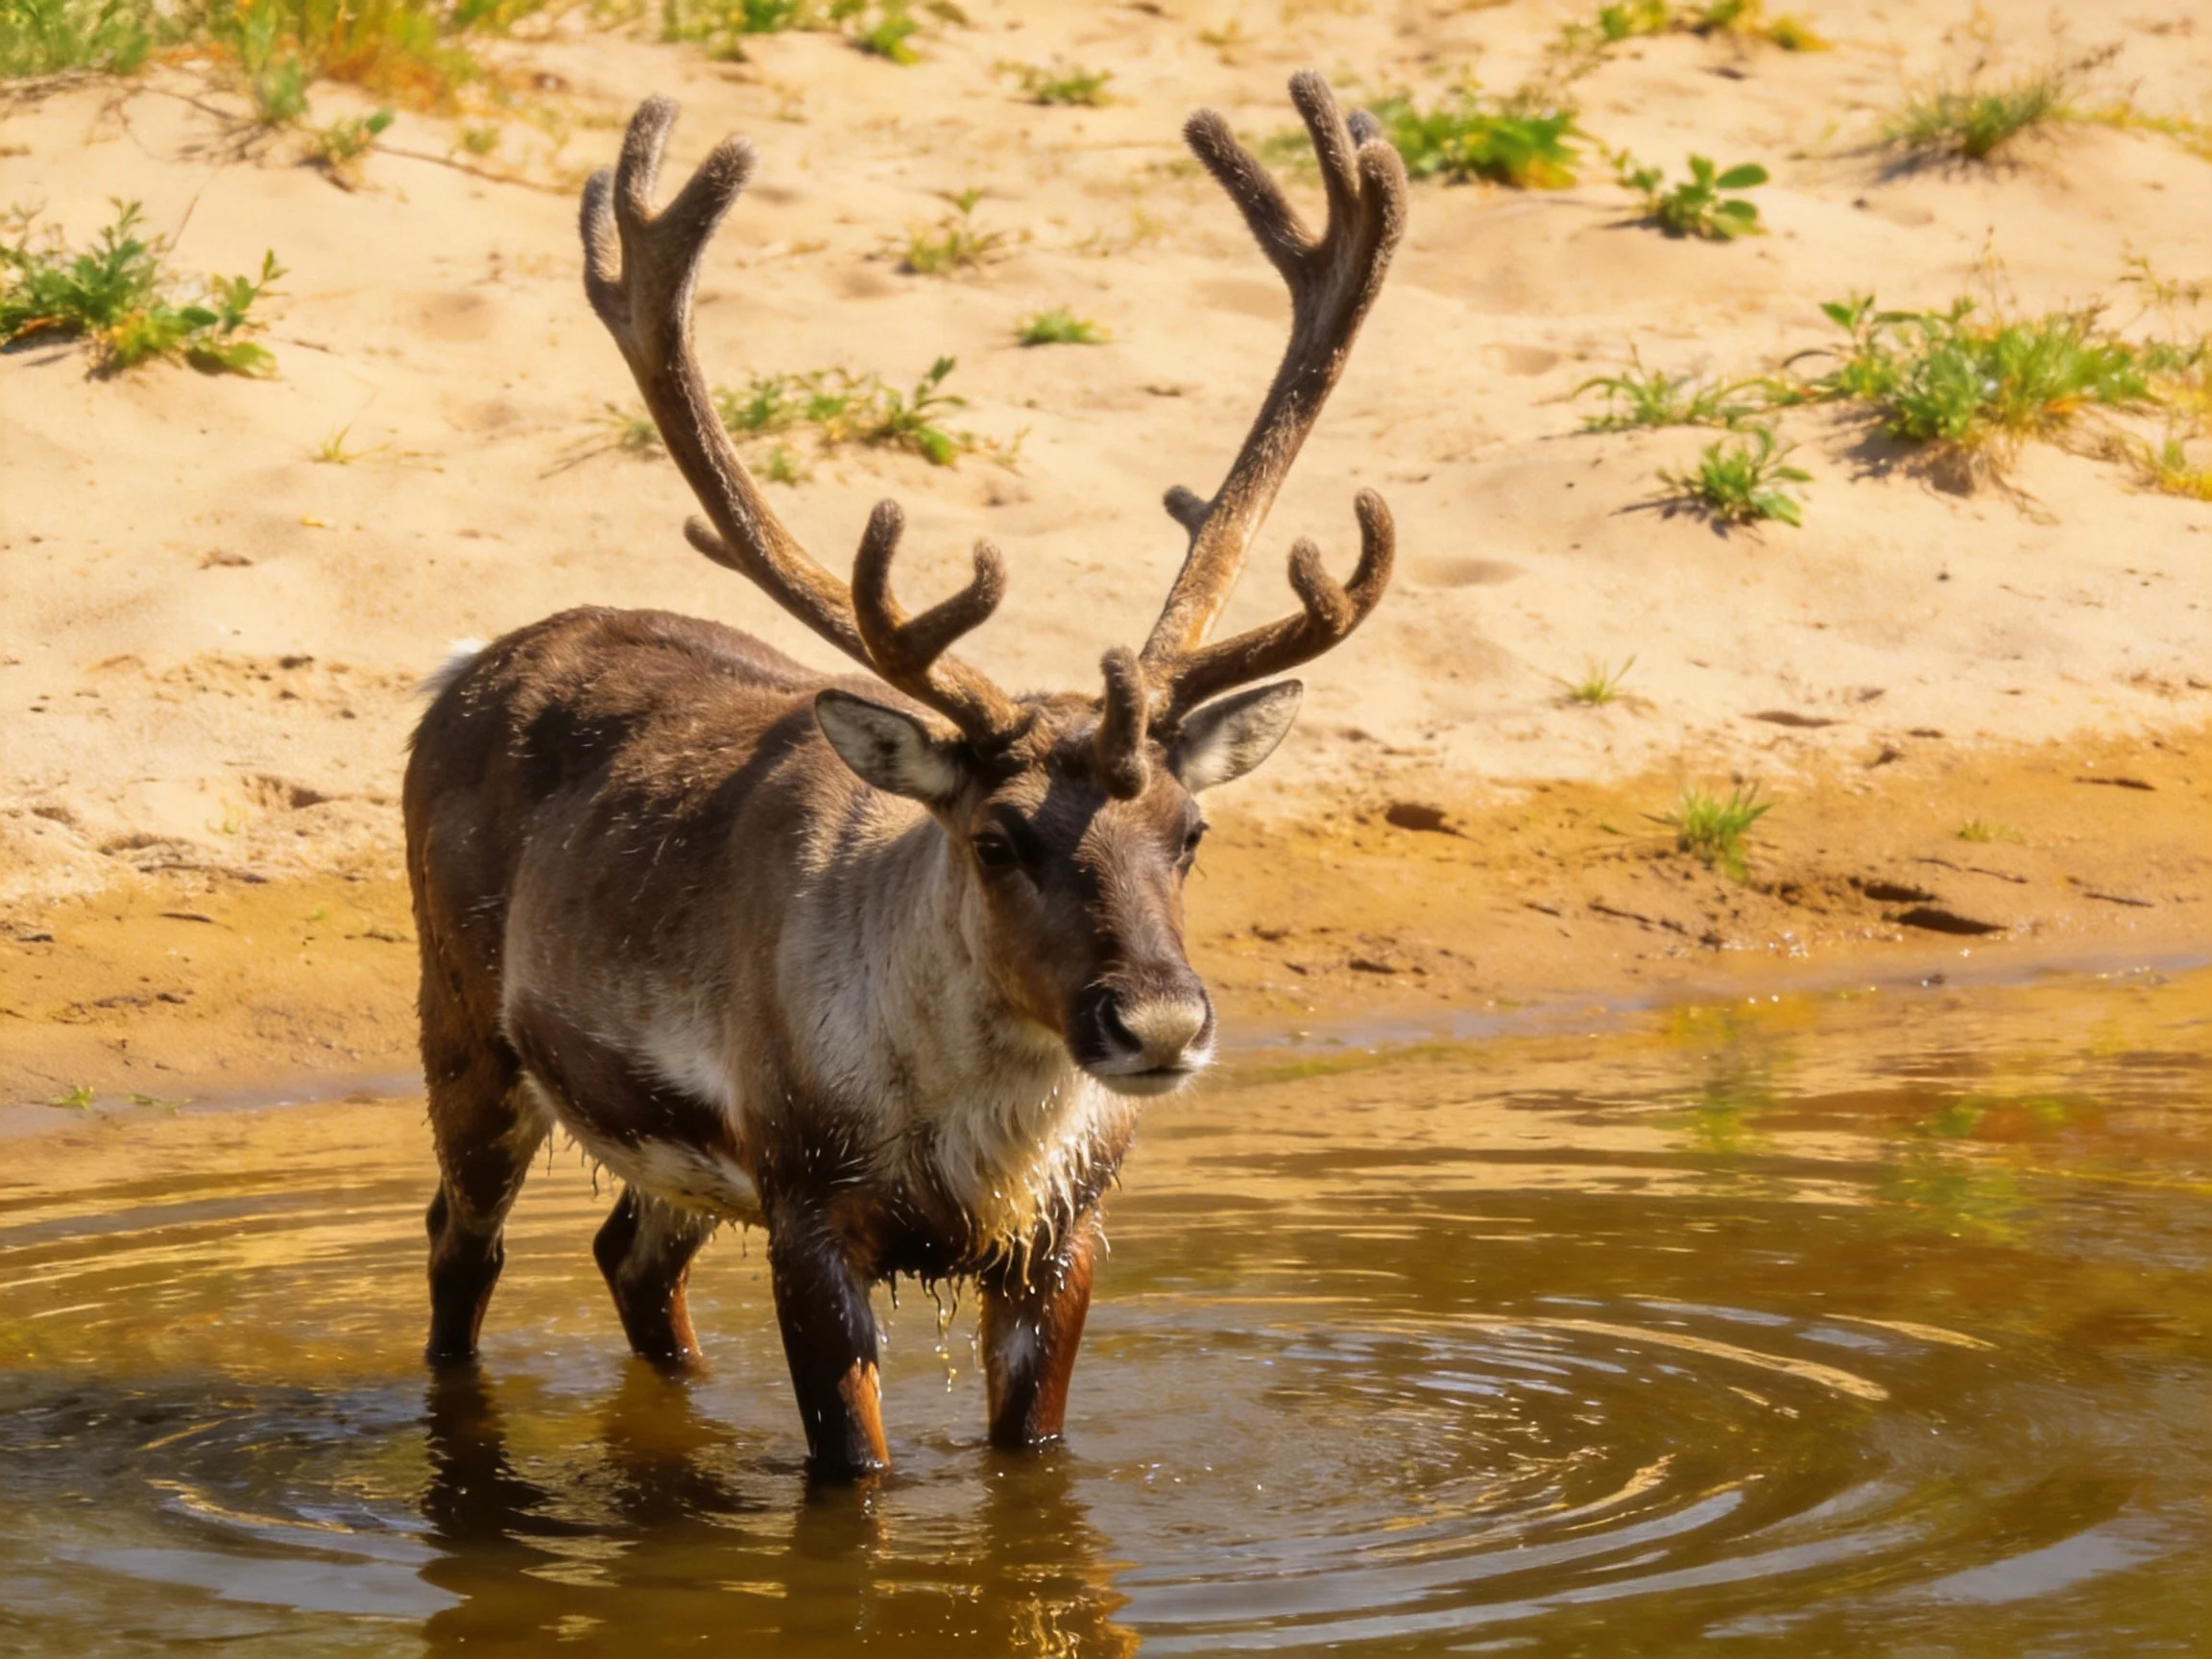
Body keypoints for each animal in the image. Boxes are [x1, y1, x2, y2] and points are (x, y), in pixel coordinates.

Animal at [402, 73, 1406, 1479]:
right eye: (996, 838)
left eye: (1192, 831)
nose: (1157, 1024)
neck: (970, 1151)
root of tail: (465, 671)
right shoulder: (810, 1208)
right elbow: (853, 1468)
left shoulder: (1059, 1235)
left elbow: (1030, 1451)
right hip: (466, 1030)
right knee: (459, 1245)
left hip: (674, 1160)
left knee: (629, 1259)